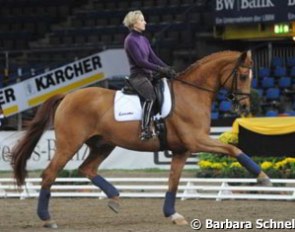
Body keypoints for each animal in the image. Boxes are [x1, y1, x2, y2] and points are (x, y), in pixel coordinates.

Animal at [9, 50, 272, 228]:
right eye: (244, 75)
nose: (245, 106)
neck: (192, 93)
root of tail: (67, 95)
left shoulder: (182, 150)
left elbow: (173, 182)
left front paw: (172, 214)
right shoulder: (197, 140)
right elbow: (233, 150)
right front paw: (263, 177)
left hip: (103, 144)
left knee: (87, 168)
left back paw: (114, 198)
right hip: (69, 144)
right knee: (50, 174)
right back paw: (47, 218)